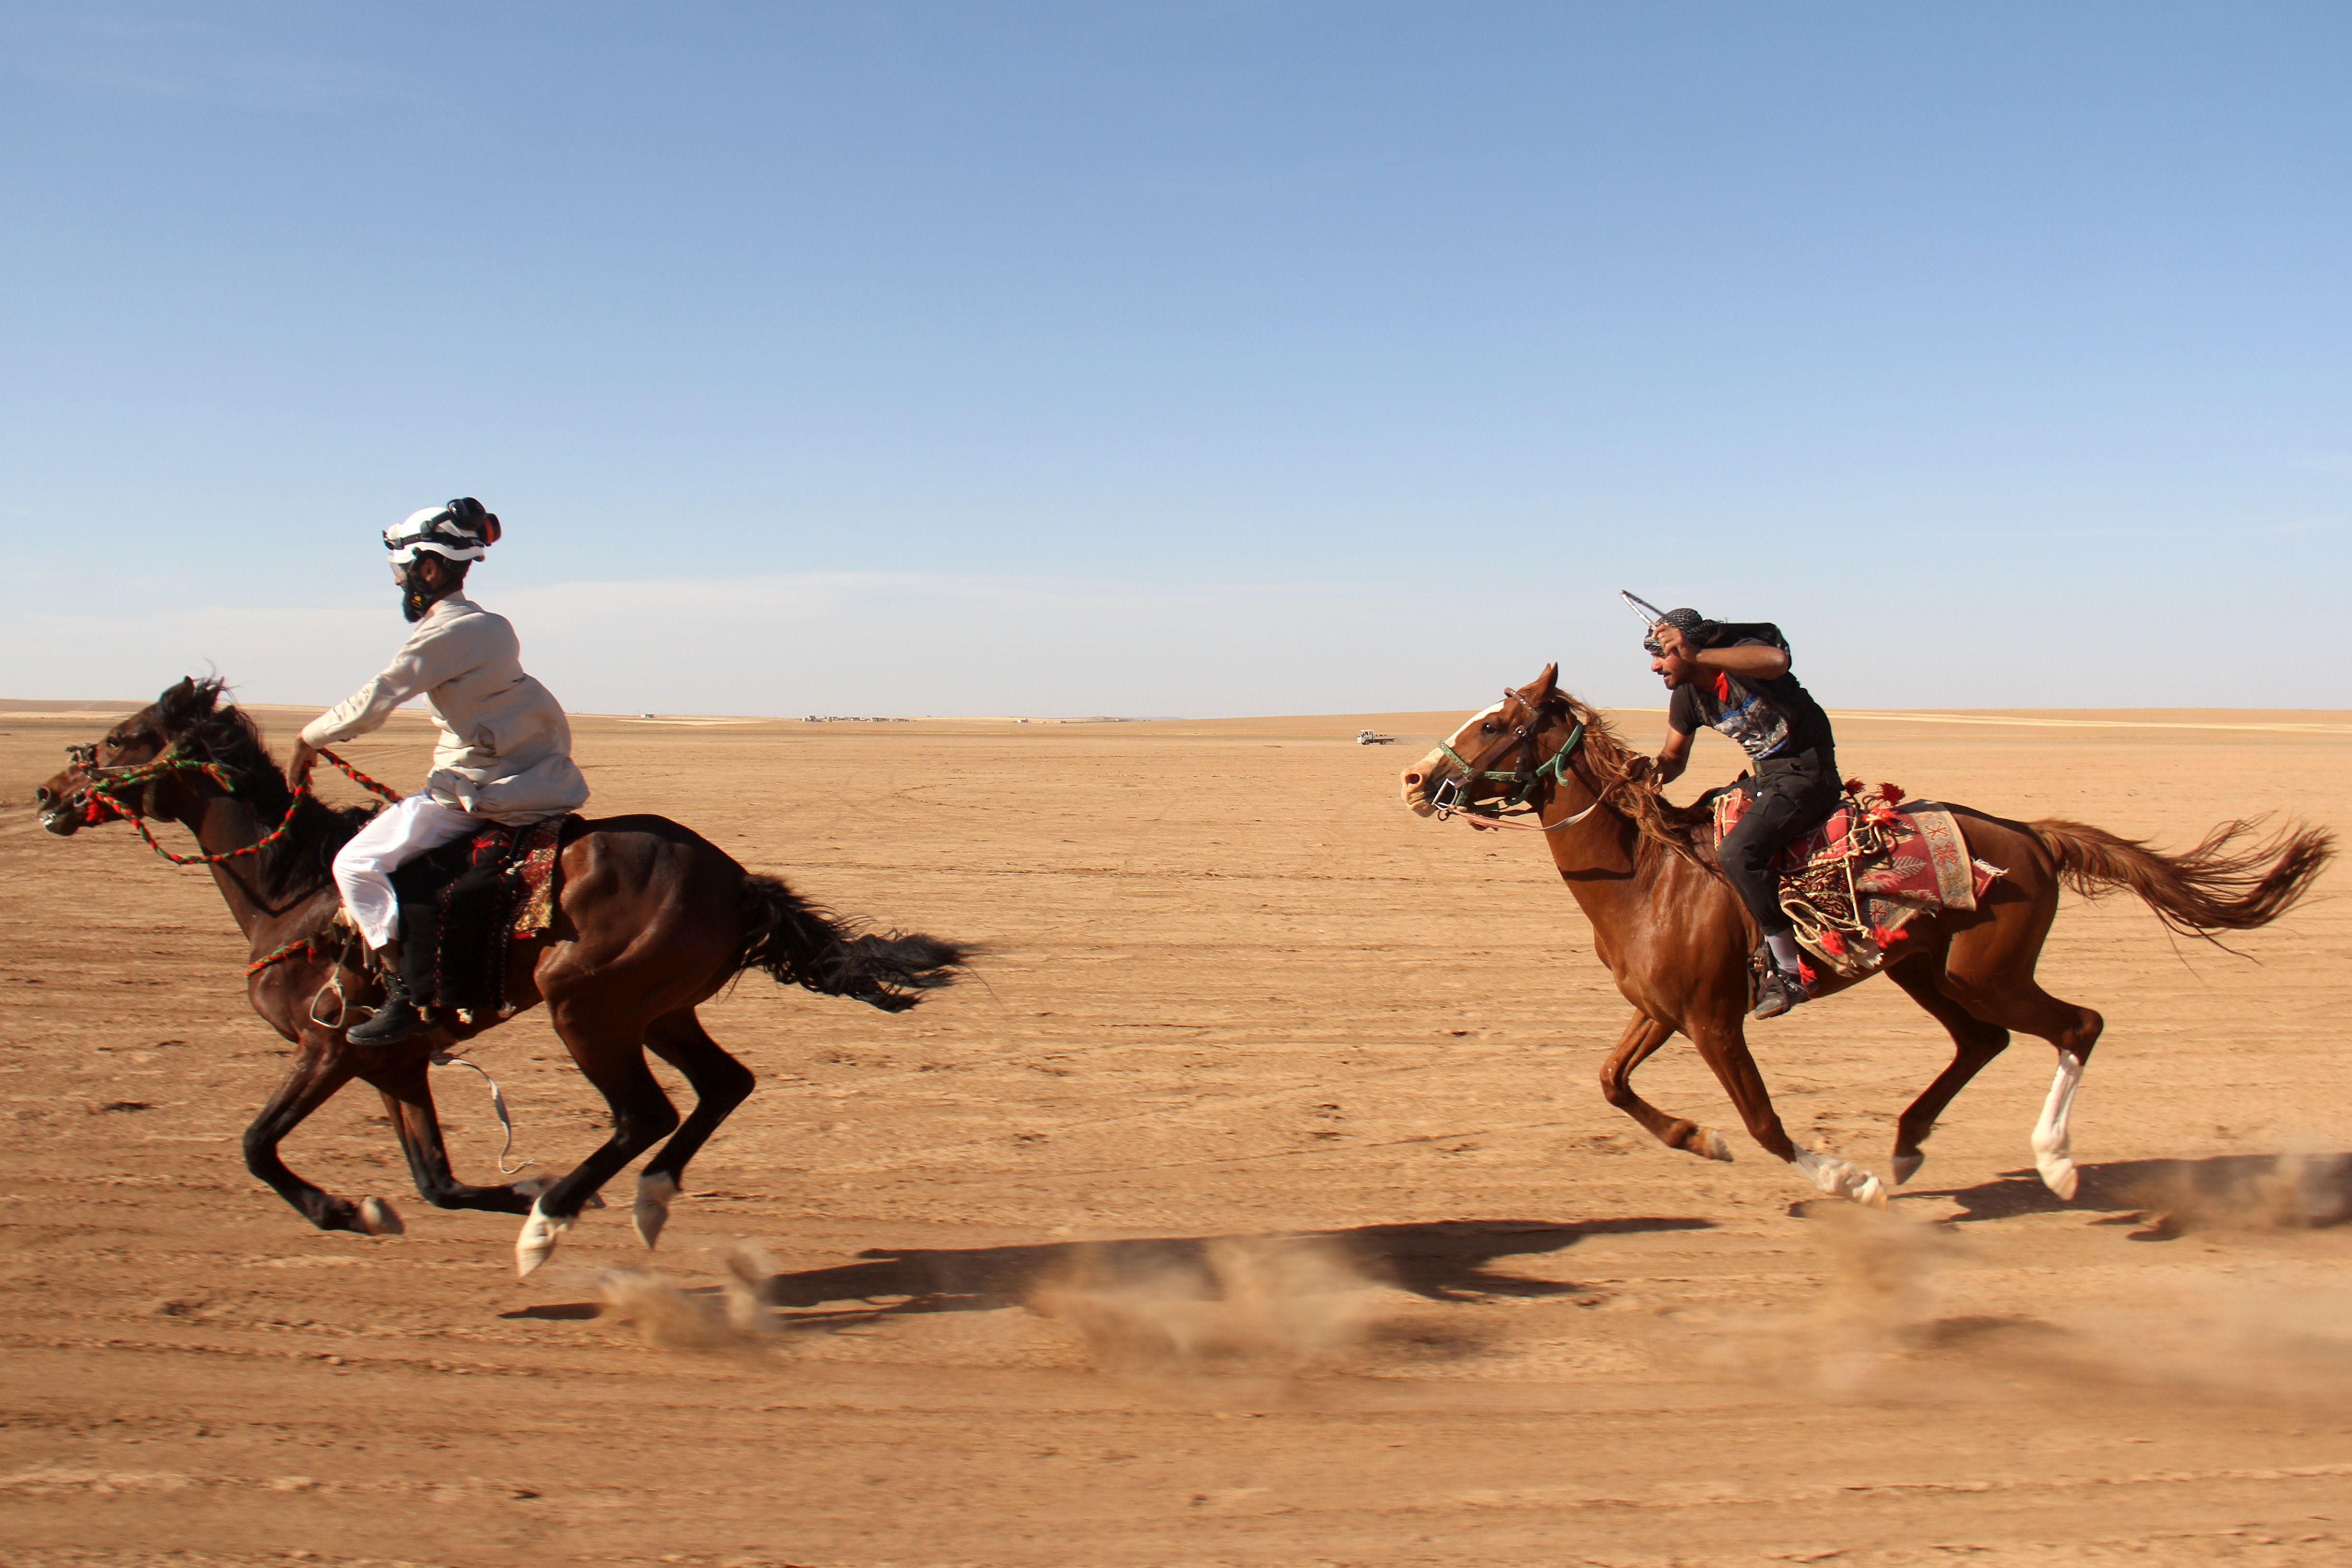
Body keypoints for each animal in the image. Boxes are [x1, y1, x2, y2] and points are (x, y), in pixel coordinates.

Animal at [29, 677, 964, 1279]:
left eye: (121, 740)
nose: (46, 792)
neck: (294, 892)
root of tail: (734, 880)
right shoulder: (394, 1063)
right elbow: (436, 1184)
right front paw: (444, 1200)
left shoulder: (328, 1047)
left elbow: (258, 1145)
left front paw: (346, 1210)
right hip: (657, 1011)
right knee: (722, 1085)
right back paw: (643, 1200)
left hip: (586, 1006)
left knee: (645, 1112)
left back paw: (553, 1224)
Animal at [1392, 668, 2333, 1213]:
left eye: (1492, 724)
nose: (1411, 777)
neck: (1647, 875)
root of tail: (2030, 834)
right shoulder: (1660, 1010)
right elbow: (1611, 1083)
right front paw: (1700, 1139)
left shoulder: (1713, 1021)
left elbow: (1765, 1122)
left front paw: (1845, 1178)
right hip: (1924, 969)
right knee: (1982, 1043)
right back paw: (1910, 1145)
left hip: (1987, 970)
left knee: (2077, 1025)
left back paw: (2052, 1163)